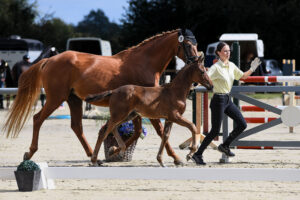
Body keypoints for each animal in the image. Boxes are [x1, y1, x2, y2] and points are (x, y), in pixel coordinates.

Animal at [86, 57, 216, 166]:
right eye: (202, 71)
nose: (211, 86)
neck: (175, 91)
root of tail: (114, 91)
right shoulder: (175, 116)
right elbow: (193, 126)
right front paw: (190, 153)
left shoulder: (169, 119)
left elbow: (165, 136)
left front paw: (161, 160)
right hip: (119, 115)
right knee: (105, 132)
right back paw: (95, 160)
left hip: (128, 115)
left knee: (112, 129)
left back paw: (119, 149)